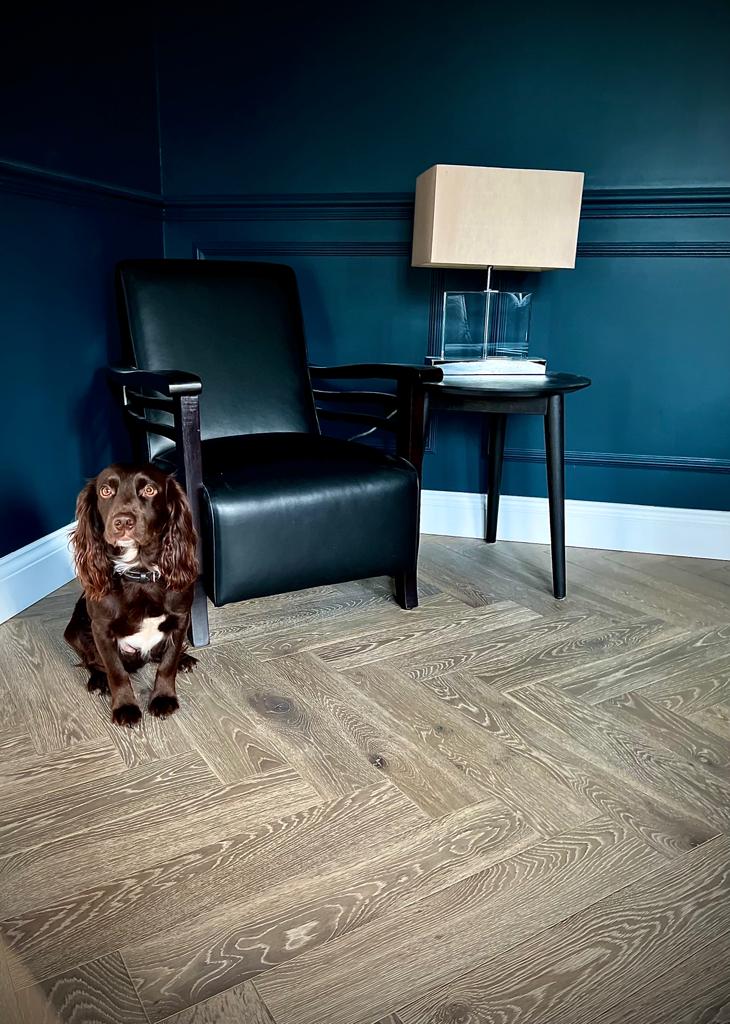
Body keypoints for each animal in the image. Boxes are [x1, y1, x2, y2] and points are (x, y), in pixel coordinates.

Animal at [64, 463, 199, 726]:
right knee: (91, 660)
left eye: (149, 490)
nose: (123, 522)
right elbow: (116, 671)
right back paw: (98, 681)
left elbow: (167, 664)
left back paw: (185, 659)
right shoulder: (101, 628)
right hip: (74, 631)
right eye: (105, 491)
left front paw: (163, 698)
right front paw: (125, 706)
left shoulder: (181, 618)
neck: (139, 573)